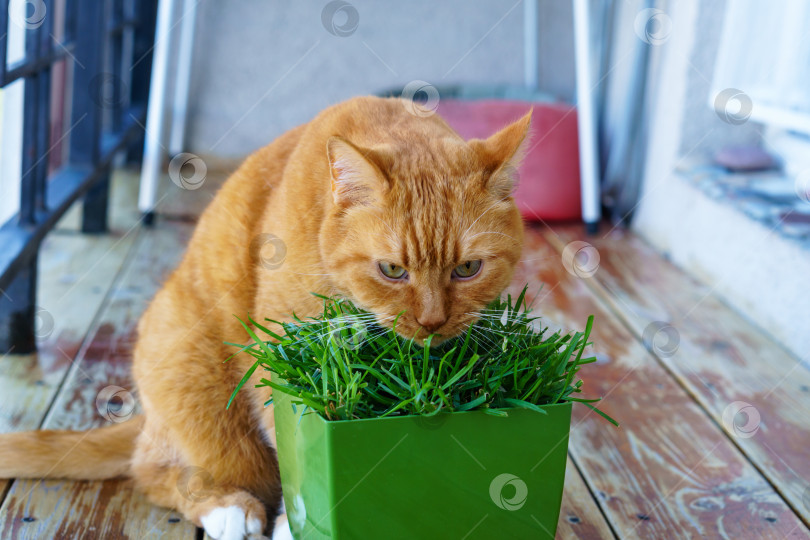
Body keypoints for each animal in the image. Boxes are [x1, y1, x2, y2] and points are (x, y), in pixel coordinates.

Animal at [0, 95, 532, 536]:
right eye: (392, 270)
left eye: (468, 269)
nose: (431, 322)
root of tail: (148, 418)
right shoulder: (280, 354)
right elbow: (292, 442)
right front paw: (295, 525)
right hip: (195, 380)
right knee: (153, 471)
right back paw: (229, 509)